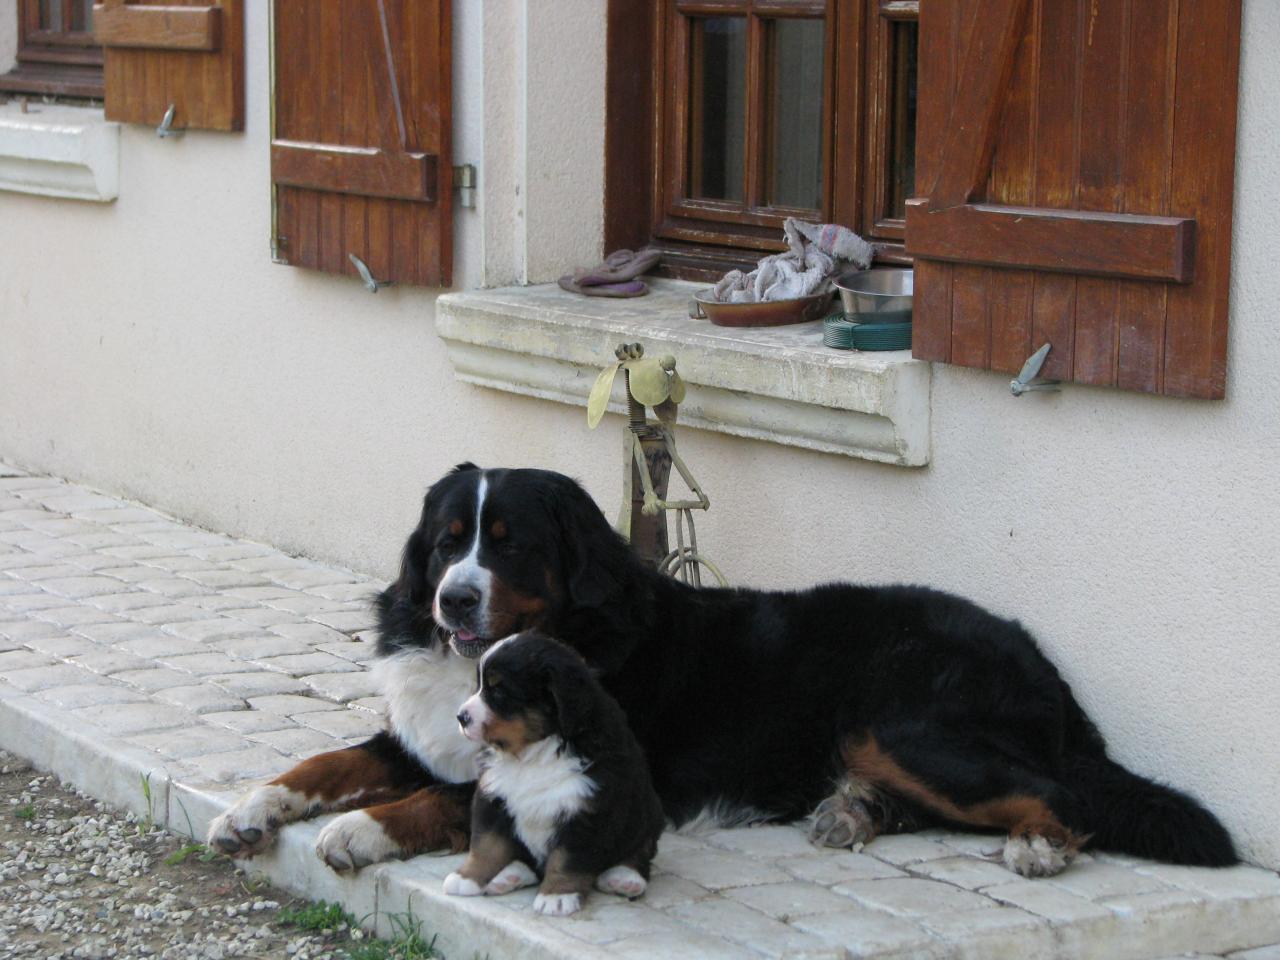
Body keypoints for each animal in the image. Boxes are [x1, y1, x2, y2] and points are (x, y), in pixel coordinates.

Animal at [209, 463, 1239, 885]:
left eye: (509, 544)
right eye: (446, 539)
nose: (455, 601)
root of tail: (1039, 659)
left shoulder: (588, 764)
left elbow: (440, 800)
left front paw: (359, 832)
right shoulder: (419, 732)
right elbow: (331, 760)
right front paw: (252, 807)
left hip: (901, 721)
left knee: (1059, 795)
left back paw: (1034, 849)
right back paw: (849, 812)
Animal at [440, 632, 665, 916]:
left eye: (499, 690)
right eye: (480, 686)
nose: (460, 717)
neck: (533, 752)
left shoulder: (586, 812)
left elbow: (567, 859)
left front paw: (557, 895)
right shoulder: (493, 797)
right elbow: (485, 845)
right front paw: (466, 877)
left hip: (647, 814)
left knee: (641, 850)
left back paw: (625, 877)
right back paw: (508, 876)